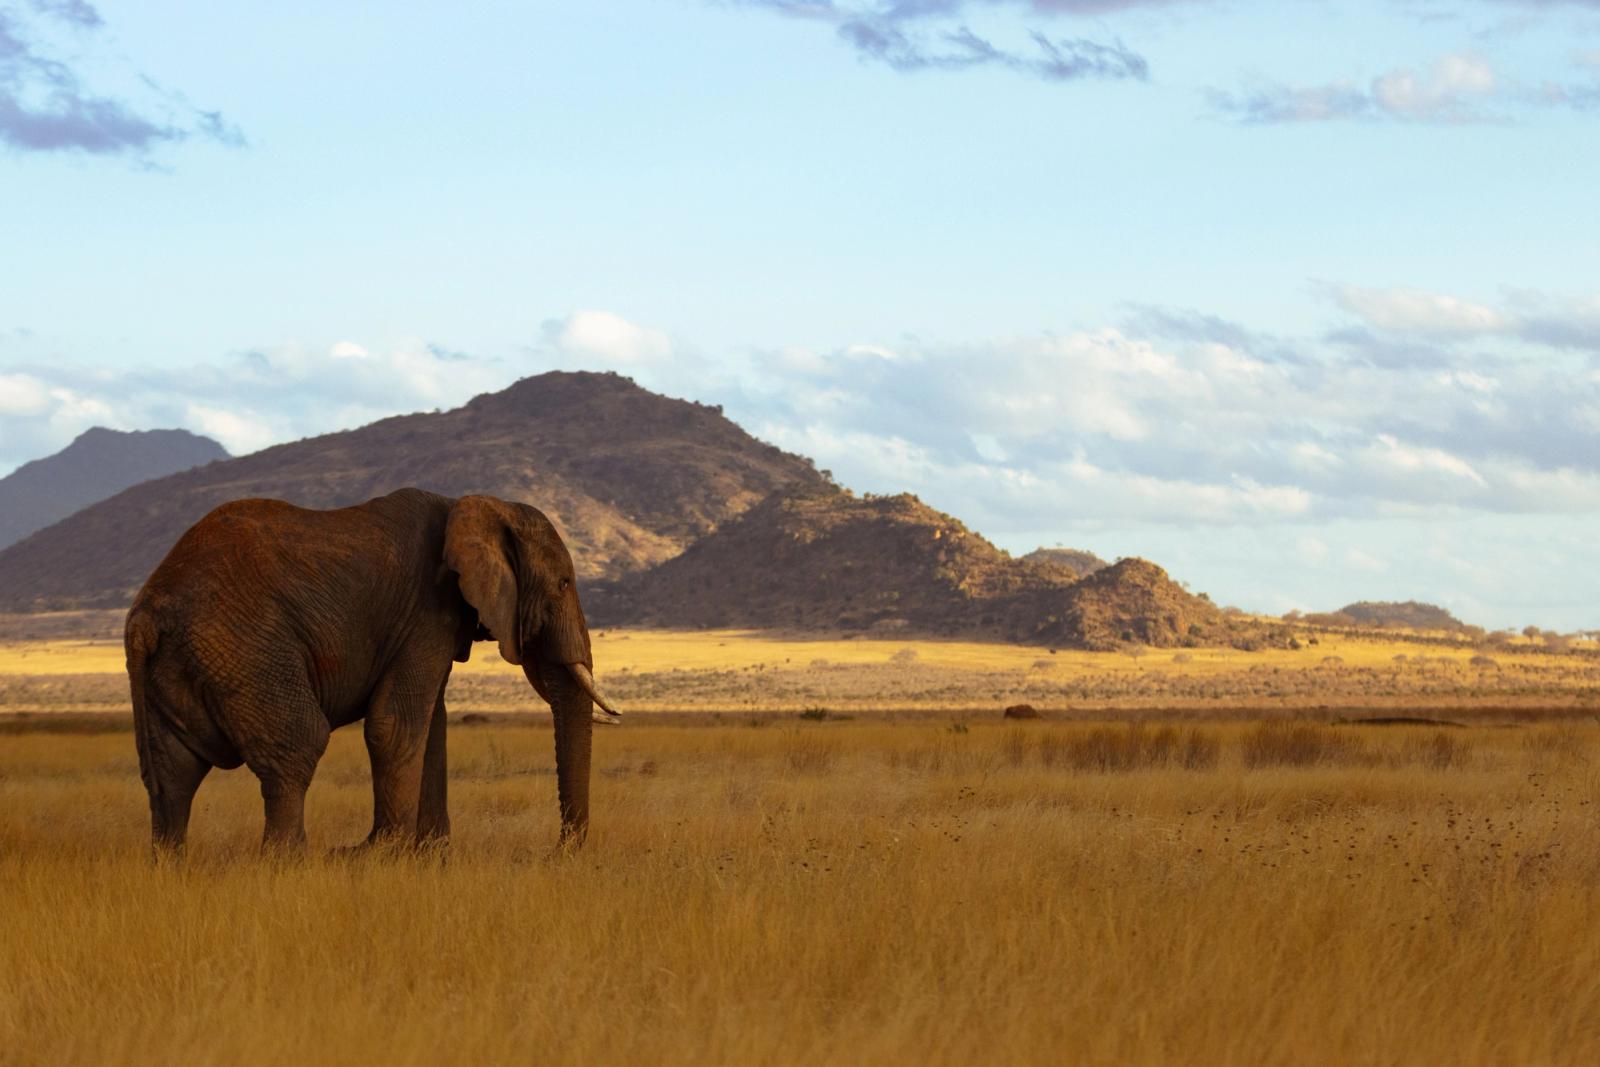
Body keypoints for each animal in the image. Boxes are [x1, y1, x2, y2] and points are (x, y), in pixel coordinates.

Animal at [124, 487, 620, 856]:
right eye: (564, 583)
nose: (555, 853)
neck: (479, 504)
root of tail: (147, 614)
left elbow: (431, 727)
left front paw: (430, 859)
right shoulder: (427, 611)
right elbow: (395, 726)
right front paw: (383, 855)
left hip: (183, 664)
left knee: (172, 773)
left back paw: (173, 870)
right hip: (246, 649)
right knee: (299, 745)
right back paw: (293, 863)